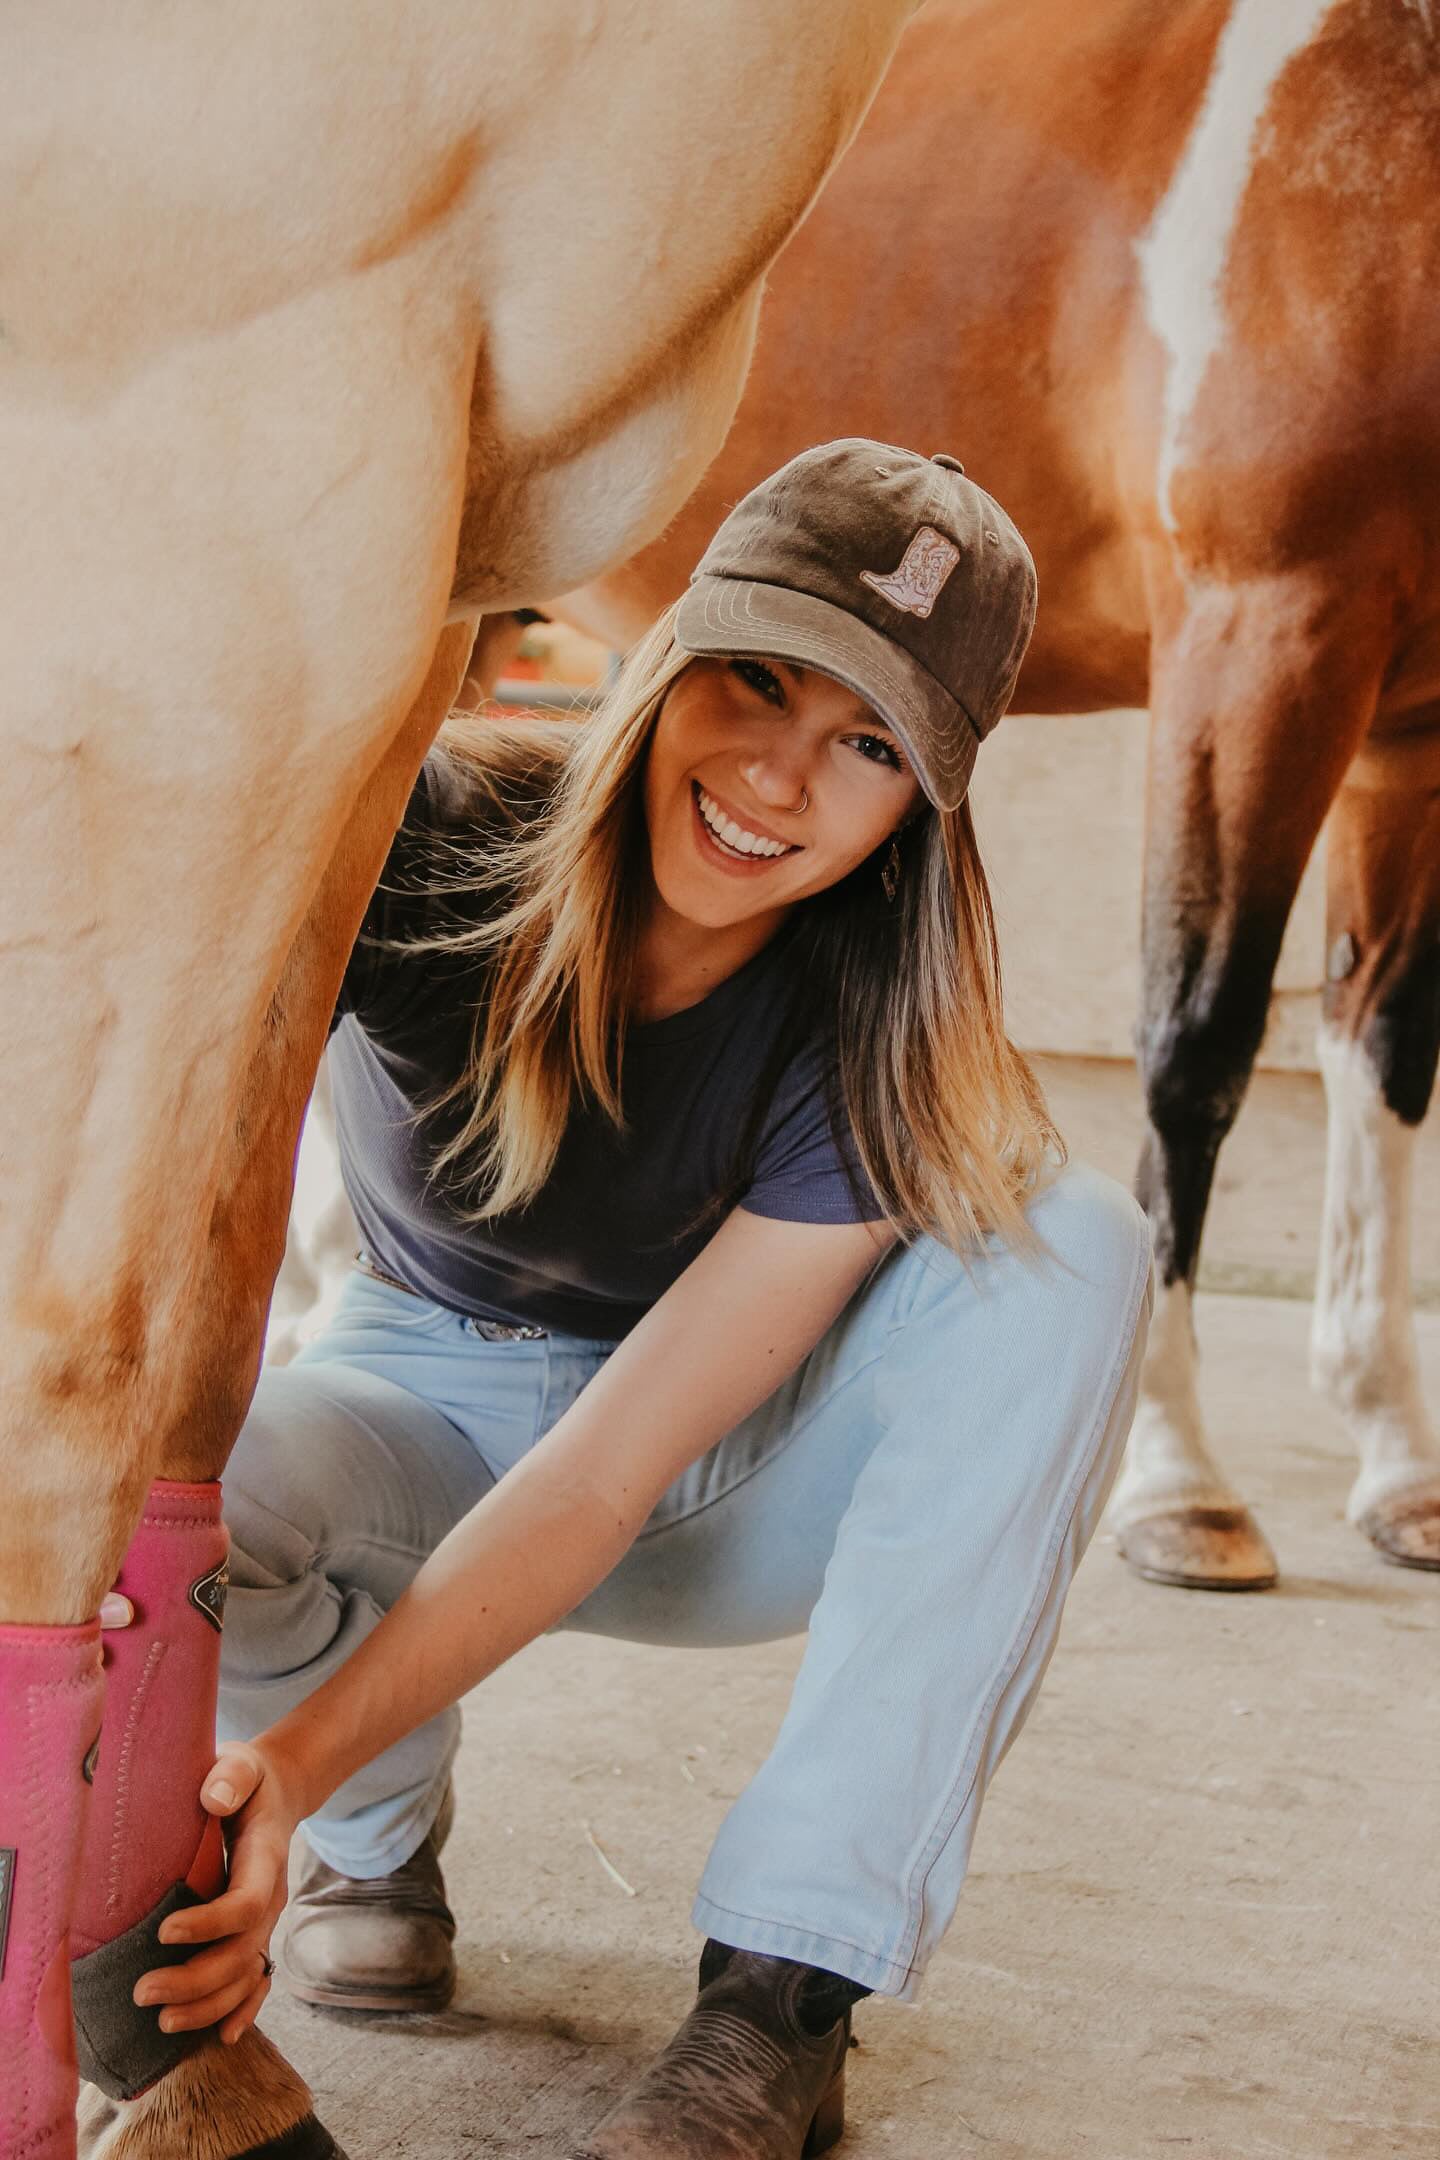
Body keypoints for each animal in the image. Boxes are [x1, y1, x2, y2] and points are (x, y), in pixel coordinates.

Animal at [552, 0, 1440, 1589]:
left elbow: (1384, 1048)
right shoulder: (1264, 636)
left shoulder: (1410, 731)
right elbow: (1198, 1044)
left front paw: (1395, 1453)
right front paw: (1178, 1482)